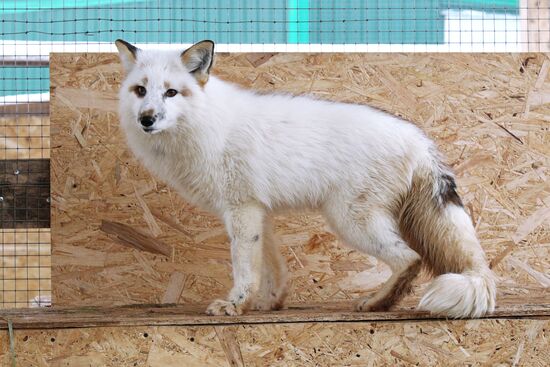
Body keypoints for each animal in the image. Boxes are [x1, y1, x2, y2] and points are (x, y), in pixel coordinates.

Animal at [114, 38, 498, 318]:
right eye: (140, 91)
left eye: (171, 92)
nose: (147, 119)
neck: (207, 123)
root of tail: (419, 139)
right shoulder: (258, 213)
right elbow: (271, 270)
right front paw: (268, 304)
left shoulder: (240, 211)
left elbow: (244, 270)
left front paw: (235, 305)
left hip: (350, 221)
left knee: (410, 259)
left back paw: (377, 303)